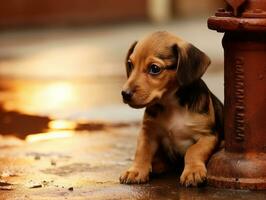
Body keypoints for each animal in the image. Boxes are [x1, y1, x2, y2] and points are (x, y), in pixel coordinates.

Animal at [119, 30, 223, 186]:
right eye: (130, 65)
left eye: (154, 69)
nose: (125, 94)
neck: (171, 104)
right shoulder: (148, 132)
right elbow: (142, 151)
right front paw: (136, 170)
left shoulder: (208, 136)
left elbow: (194, 151)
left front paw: (193, 172)